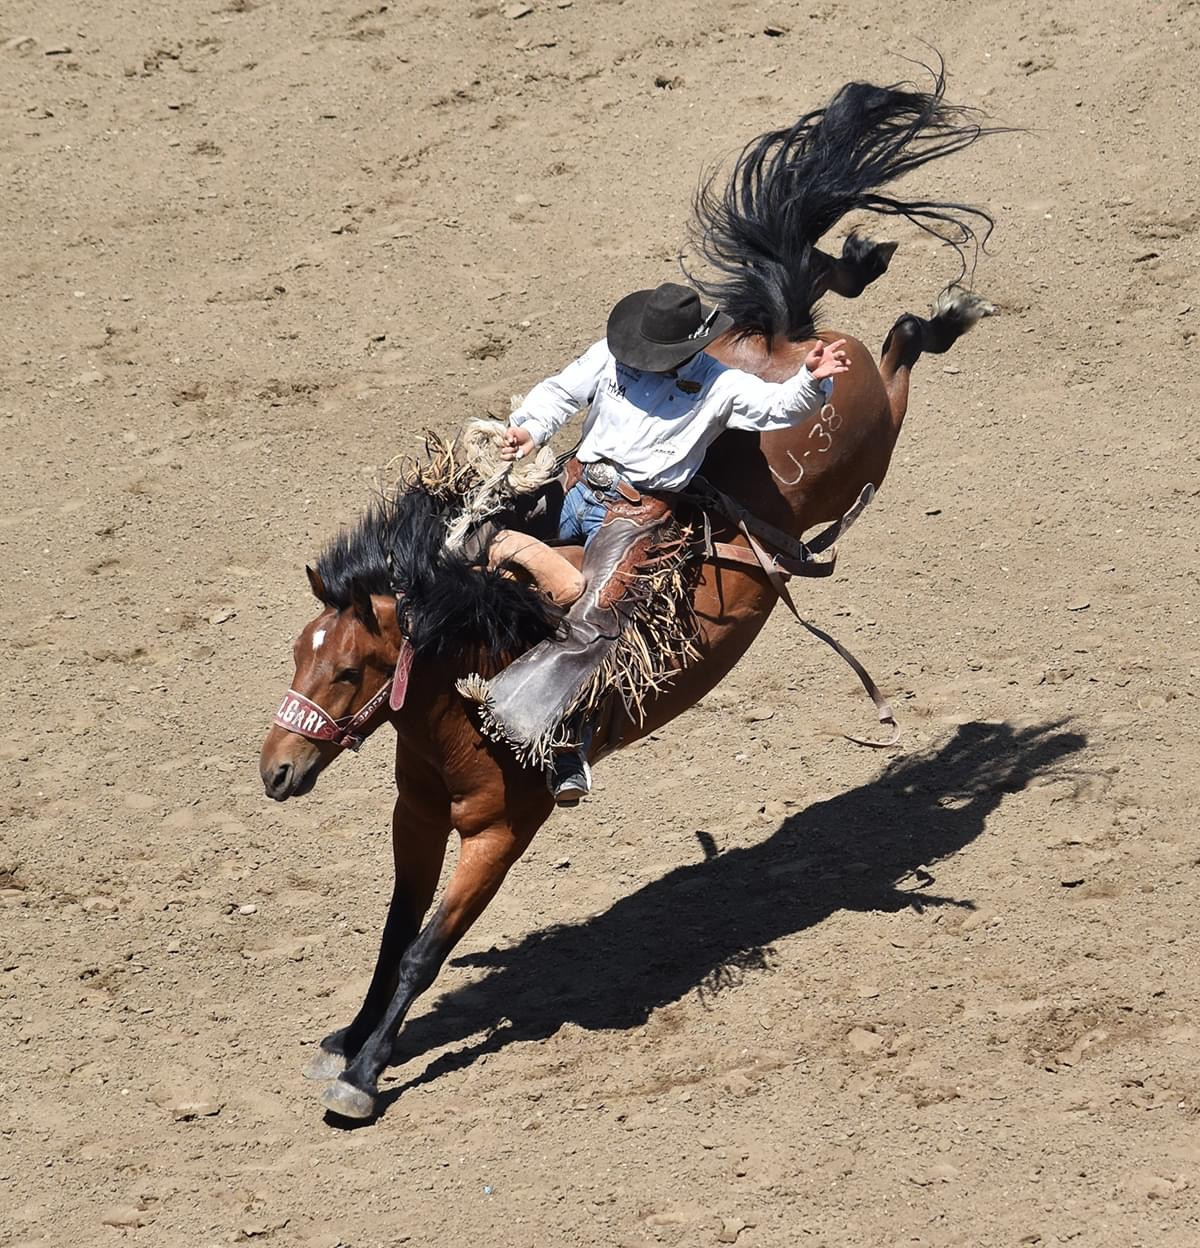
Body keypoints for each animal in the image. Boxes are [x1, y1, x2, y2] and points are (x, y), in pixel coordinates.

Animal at [259, 69, 1001, 1120]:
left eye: (352, 668)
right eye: (298, 655)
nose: (276, 772)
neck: (478, 663)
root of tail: (769, 353)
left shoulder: (500, 831)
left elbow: (425, 950)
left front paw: (364, 1077)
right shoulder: (416, 814)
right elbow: (395, 933)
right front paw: (348, 1039)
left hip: (871, 439)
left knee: (890, 348)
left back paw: (938, 310)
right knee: (821, 295)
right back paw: (862, 263)